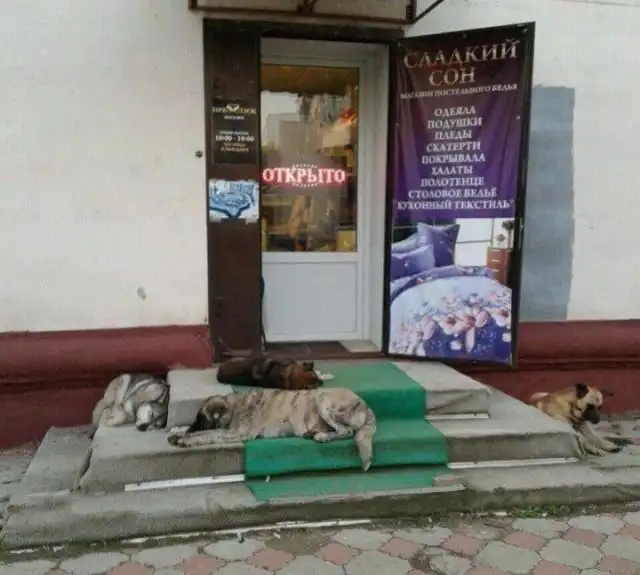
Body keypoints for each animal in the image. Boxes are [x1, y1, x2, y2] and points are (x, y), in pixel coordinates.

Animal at [167, 388, 377, 471]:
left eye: (201, 417)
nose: (189, 428)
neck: (234, 406)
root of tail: (366, 406)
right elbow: (205, 432)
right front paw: (180, 434)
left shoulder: (235, 432)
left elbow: (209, 434)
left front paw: (186, 439)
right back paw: (314, 433)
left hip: (323, 400)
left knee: (346, 431)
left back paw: (322, 436)